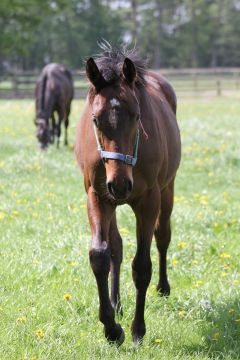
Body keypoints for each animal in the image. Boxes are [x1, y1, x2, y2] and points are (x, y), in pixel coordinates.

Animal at [75, 45, 180, 346]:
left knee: (163, 236)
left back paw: (163, 287)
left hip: (167, 189)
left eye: (136, 116)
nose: (121, 185)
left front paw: (137, 330)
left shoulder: (149, 200)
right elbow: (100, 255)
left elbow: (142, 265)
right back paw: (116, 303)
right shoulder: (98, 196)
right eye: (95, 119)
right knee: (116, 248)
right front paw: (111, 328)